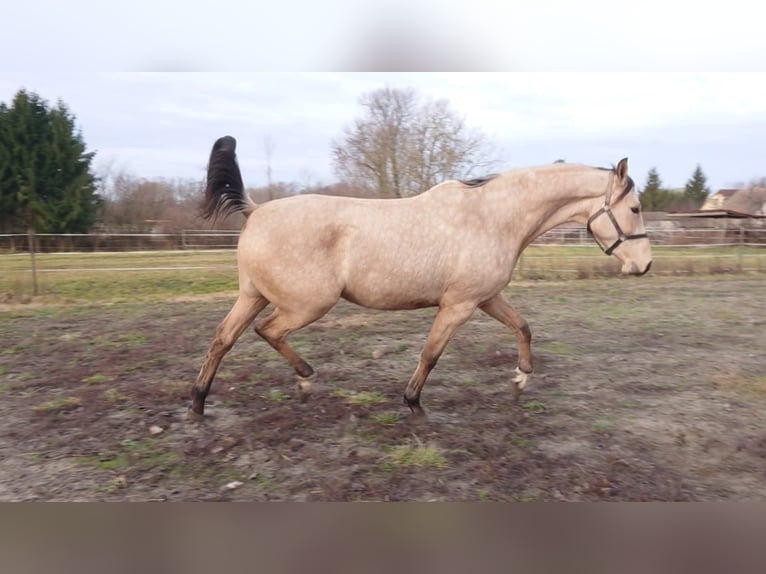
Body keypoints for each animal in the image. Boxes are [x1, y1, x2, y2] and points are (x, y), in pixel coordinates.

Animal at [189, 137, 652, 420]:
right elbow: (430, 354)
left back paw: (198, 402)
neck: (492, 217)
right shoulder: (458, 305)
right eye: (634, 209)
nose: (644, 265)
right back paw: (304, 379)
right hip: (306, 304)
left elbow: (523, 327)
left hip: (253, 295)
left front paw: (521, 379)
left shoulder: (486, 298)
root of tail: (255, 211)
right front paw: (414, 405)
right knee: (266, 332)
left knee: (221, 339)